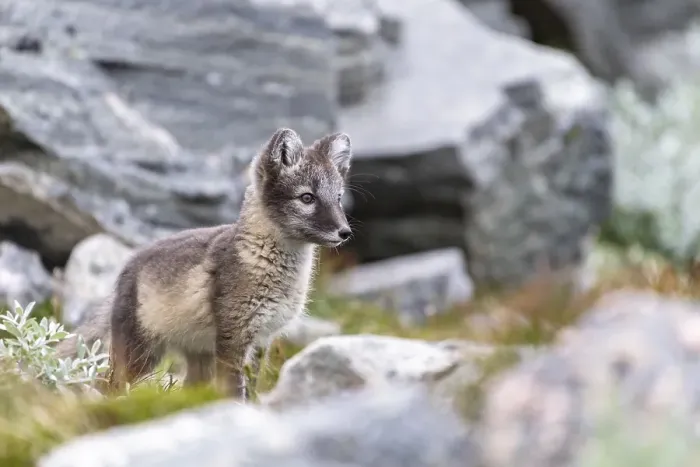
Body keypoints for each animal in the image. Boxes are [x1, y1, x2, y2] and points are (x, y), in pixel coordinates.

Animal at [56, 127, 354, 399]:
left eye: (338, 198)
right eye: (307, 198)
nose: (346, 232)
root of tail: (127, 269)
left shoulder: (262, 339)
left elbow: (252, 388)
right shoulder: (234, 338)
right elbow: (234, 391)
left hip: (197, 356)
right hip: (140, 355)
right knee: (108, 386)